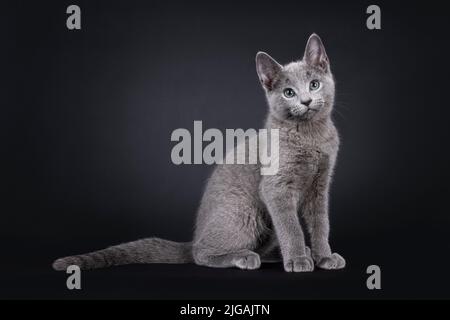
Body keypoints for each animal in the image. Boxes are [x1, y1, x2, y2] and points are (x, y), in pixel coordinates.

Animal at [54, 33, 346, 272]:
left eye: (314, 85)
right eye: (288, 92)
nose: (306, 101)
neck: (310, 135)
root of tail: (194, 237)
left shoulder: (320, 185)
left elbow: (321, 224)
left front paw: (323, 257)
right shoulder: (276, 188)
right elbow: (292, 228)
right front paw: (298, 260)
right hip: (244, 213)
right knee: (201, 254)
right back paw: (245, 257)